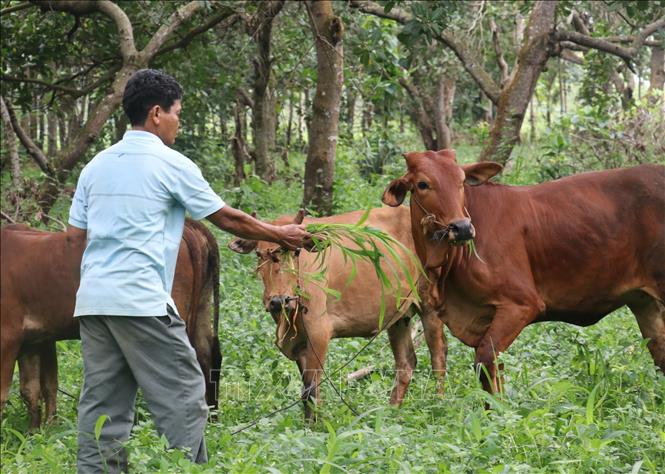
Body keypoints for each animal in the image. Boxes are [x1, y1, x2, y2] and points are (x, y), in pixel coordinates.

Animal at [0, 219, 222, 429]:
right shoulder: (36, 339)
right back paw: (212, 420)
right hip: (202, 308)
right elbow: (37, 387)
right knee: (208, 358)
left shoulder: (9, 336)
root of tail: (191, 227)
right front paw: (37, 432)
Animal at [229, 207, 448, 420]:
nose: (278, 300)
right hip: (398, 317)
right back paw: (391, 412)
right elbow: (309, 390)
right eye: (258, 254)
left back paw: (438, 404)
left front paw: (313, 426)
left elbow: (310, 389)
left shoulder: (319, 333)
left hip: (430, 306)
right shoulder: (299, 342)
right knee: (406, 364)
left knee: (438, 356)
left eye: (296, 252)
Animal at [382, 148, 665, 395]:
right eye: (422, 184)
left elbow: (484, 362)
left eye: (461, 181)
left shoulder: (521, 304)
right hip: (644, 302)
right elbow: (495, 370)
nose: (461, 228)